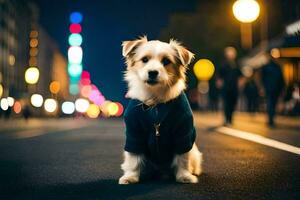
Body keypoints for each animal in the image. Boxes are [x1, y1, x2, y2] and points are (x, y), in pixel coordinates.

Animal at [118, 36, 203, 184]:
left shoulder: (183, 134)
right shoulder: (134, 133)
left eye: (166, 61)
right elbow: (133, 159)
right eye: (145, 59)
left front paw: (184, 176)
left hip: (195, 153)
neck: (155, 101)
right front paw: (130, 177)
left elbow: (183, 158)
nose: (153, 72)